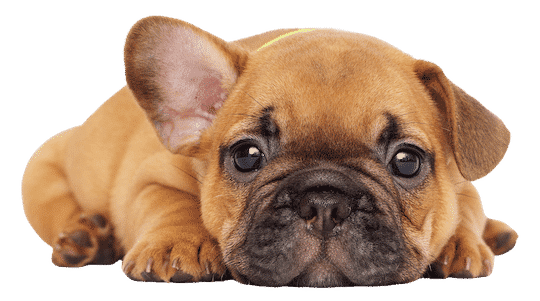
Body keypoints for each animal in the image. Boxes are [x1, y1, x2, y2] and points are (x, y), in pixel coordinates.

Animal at [22, 15, 520, 286]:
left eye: (407, 161)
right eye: (246, 156)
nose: (325, 202)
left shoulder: (462, 187)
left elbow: (465, 211)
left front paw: (461, 243)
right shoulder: (153, 174)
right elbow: (168, 201)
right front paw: (178, 242)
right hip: (41, 174)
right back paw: (85, 239)